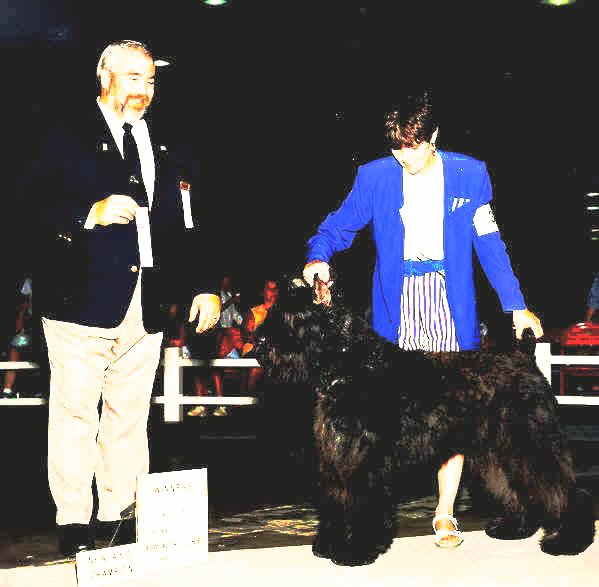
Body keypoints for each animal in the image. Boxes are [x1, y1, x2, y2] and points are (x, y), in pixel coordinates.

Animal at [253, 278, 596, 568]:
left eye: (294, 315)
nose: (259, 343)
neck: (352, 364)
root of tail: (524, 355)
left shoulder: (365, 463)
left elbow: (362, 506)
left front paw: (356, 551)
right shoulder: (337, 459)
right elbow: (337, 503)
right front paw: (329, 544)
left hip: (531, 446)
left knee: (567, 492)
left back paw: (567, 542)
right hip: (497, 454)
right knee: (514, 490)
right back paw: (514, 527)